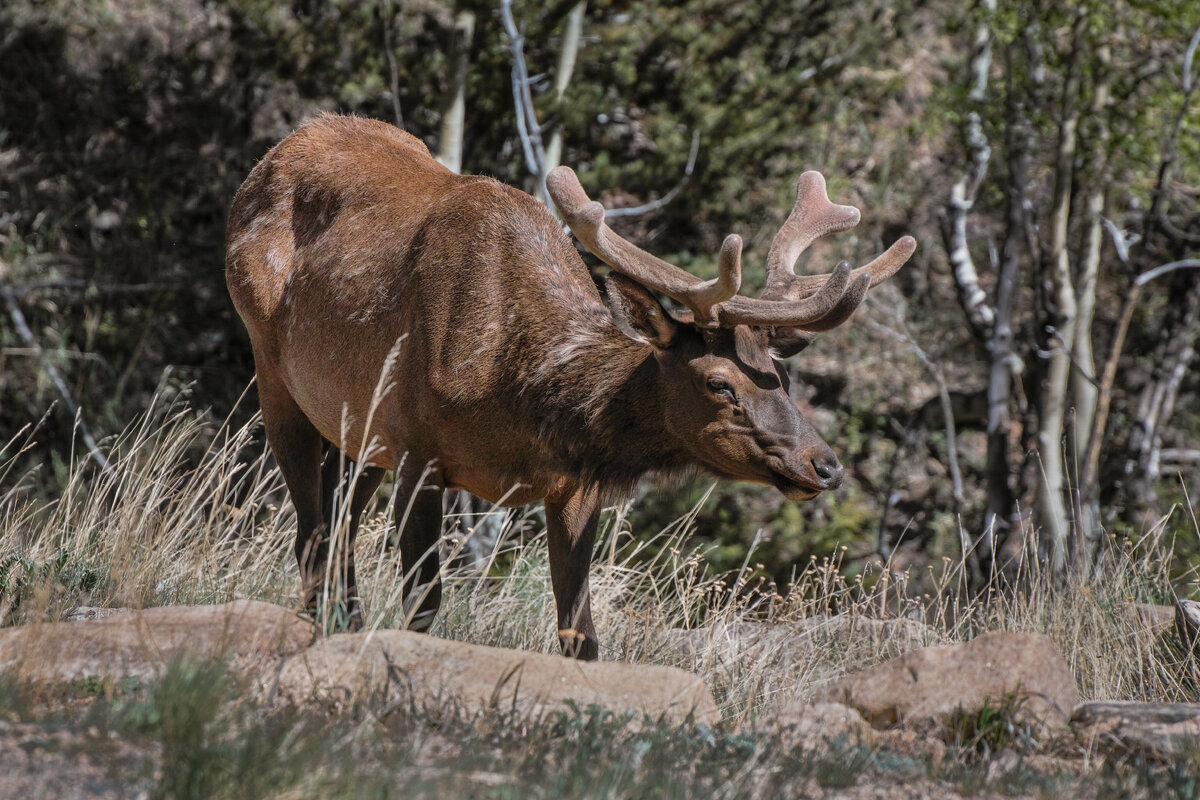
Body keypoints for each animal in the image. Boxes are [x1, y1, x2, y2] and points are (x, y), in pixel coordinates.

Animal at [225, 114, 915, 659]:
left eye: (784, 376)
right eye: (719, 384)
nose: (825, 465)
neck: (515, 400)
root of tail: (277, 152)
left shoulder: (573, 490)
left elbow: (581, 636)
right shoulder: (418, 448)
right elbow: (424, 607)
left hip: (360, 428)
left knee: (335, 516)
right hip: (271, 362)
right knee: (310, 524)